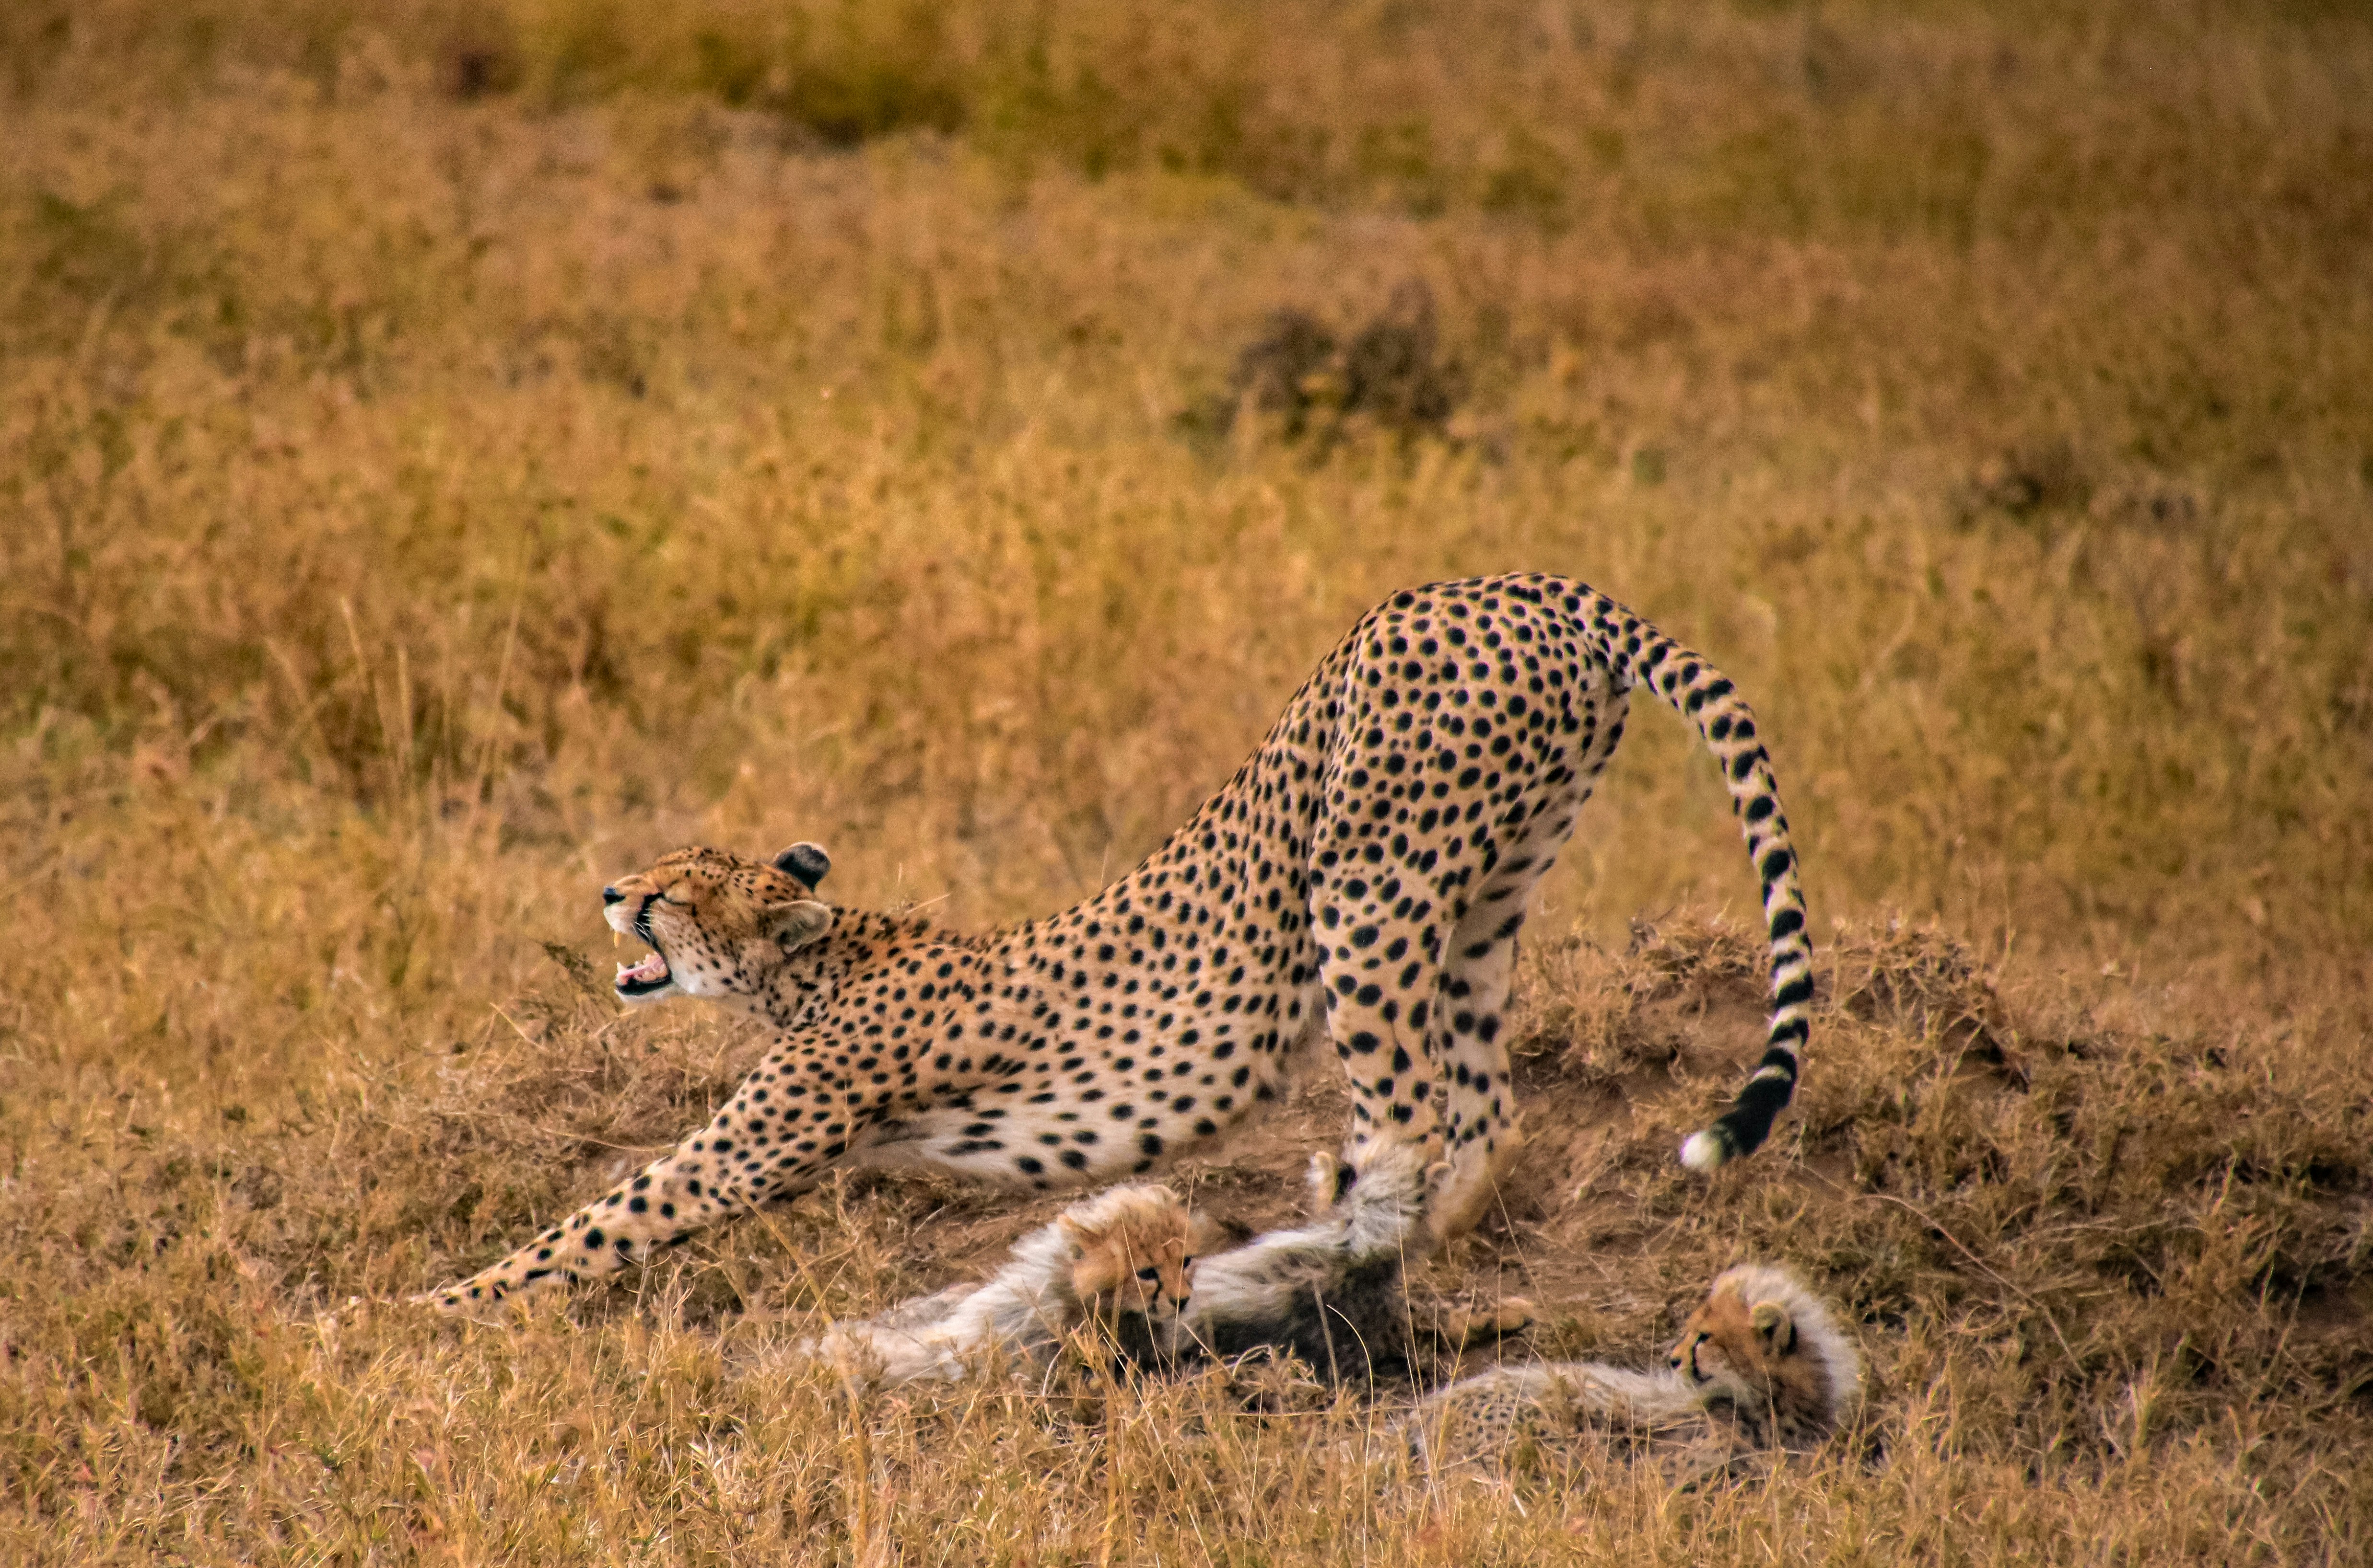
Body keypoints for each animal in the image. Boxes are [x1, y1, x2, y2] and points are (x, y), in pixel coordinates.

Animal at [421, 573, 1814, 1311]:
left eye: (671, 895)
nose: (611, 890)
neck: (820, 959)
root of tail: (1529, 586)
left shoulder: (747, 1145)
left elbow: (600, 1218)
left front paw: (427, 1310)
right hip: (1482, 884)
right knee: (1483, 1102)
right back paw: (1403, 1240)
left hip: (1364, 879)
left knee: (1414, 1105)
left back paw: (1331, 1250)